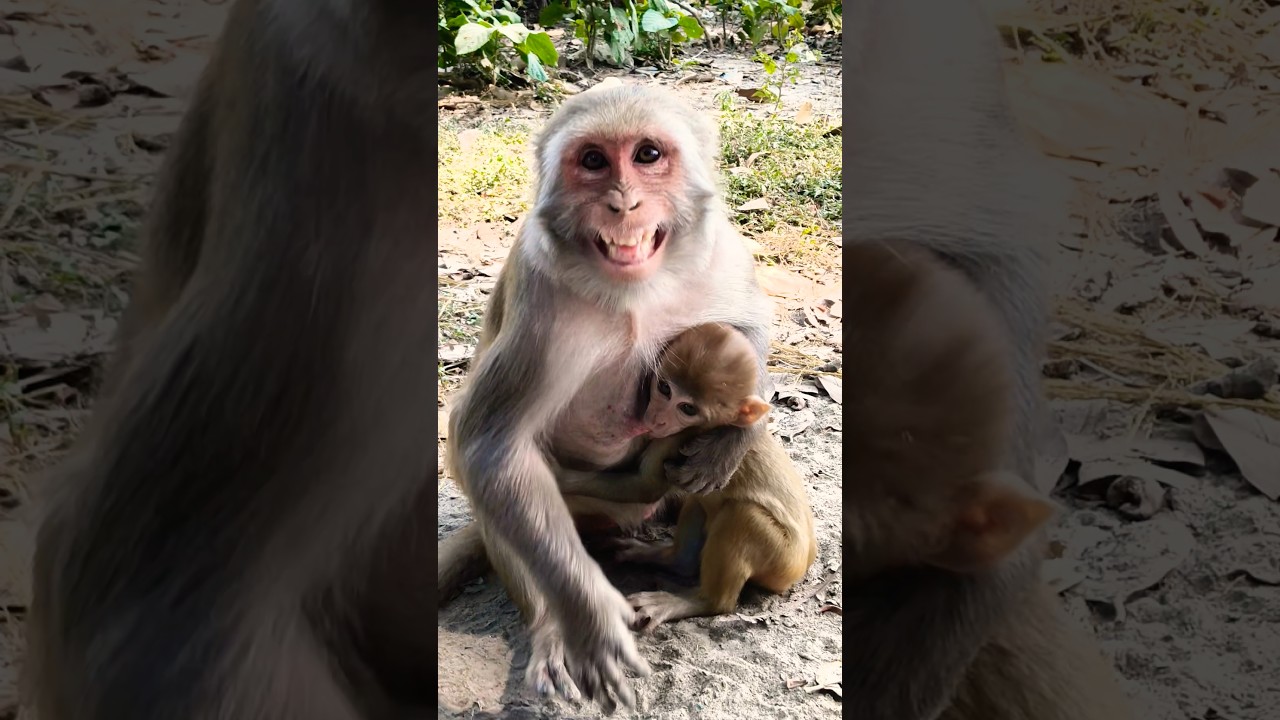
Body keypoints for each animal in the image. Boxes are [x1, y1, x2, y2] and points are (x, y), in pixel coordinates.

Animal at [443, 83, 777, 709]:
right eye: (594, 161)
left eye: (648, 155)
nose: (624, 204)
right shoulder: (539, 291)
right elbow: (489, 446)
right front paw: (590, 620)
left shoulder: (720, 249)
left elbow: (750, 323)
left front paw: (730, 441)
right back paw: (552, 625)